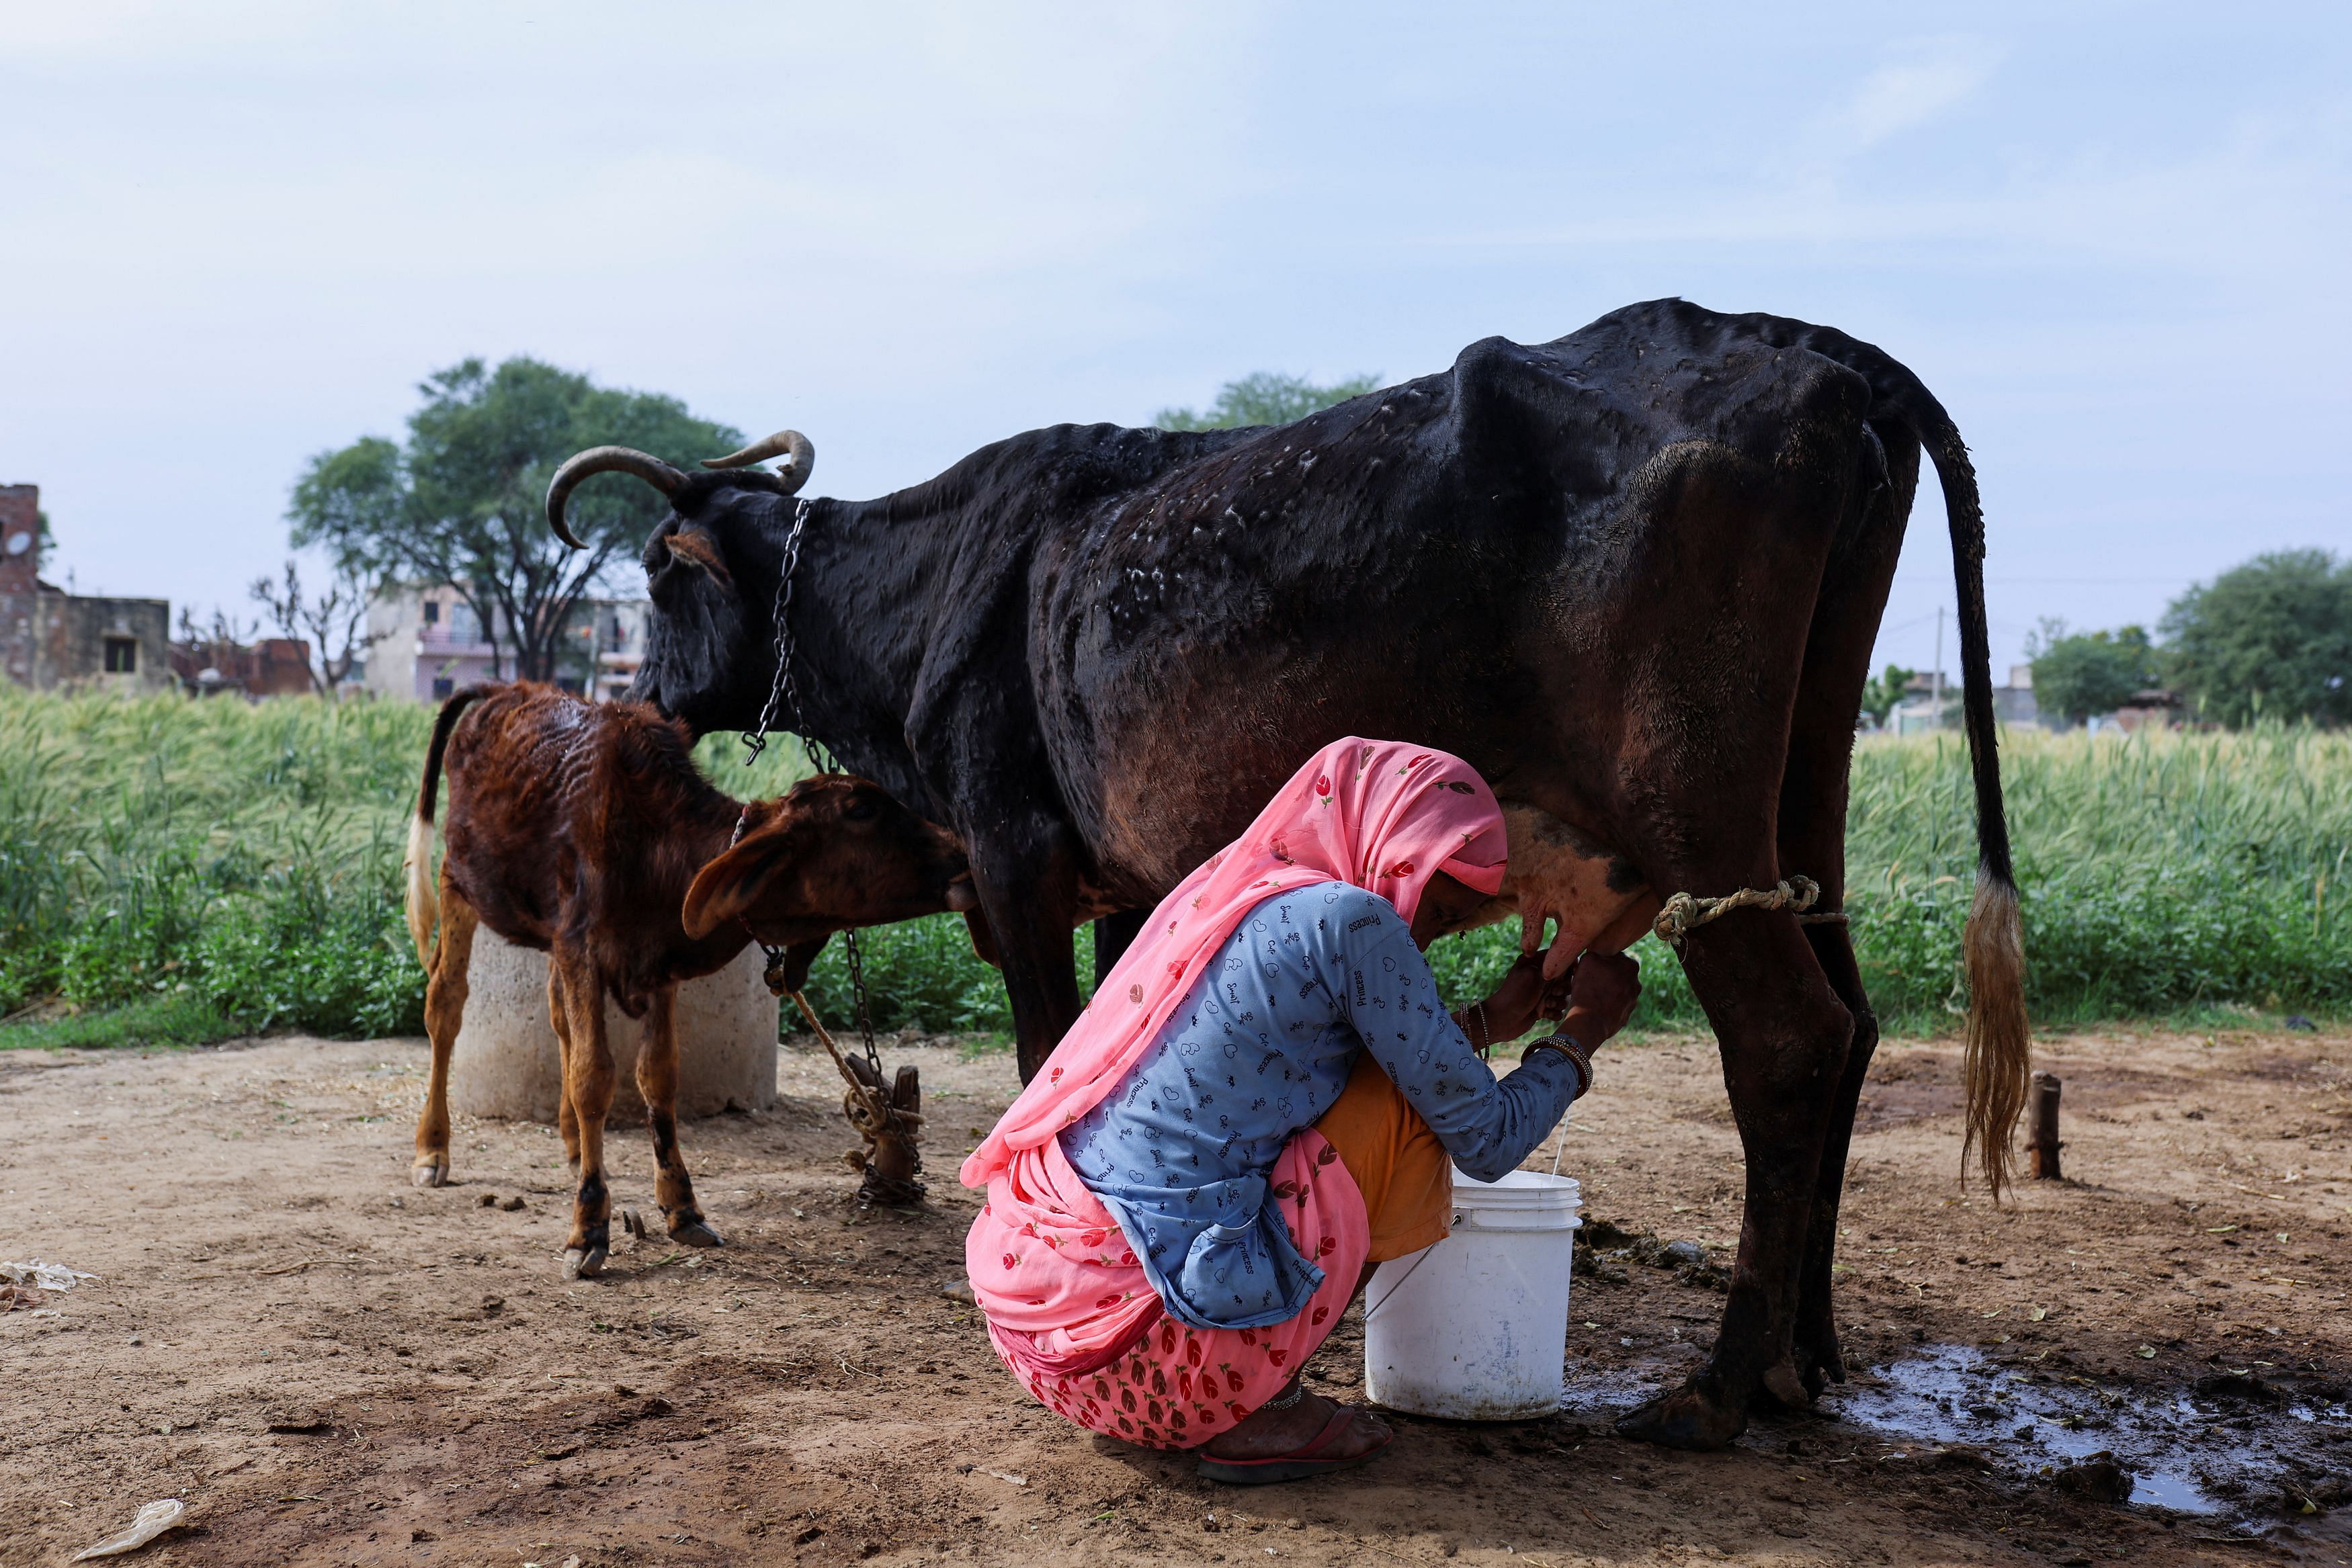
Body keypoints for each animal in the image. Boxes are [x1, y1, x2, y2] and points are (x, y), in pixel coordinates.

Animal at [400, 681, 969, 1278]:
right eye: (860, 810)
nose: (961, 849)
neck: (654, 846)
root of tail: (505, 688)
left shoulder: (655, 967)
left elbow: (658, 1075)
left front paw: (681, 1205)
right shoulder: (582, 949)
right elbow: (593, 1077)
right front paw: (588, 1227)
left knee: (557, 1017)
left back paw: (575, 1145)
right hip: (458, 882)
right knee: (446, 1006)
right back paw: (433, 1149)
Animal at [546, 300, 2023, 1457]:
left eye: (658, 580)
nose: (643, 698)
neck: (927, 587)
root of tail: (1807, 349)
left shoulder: (1019, 858)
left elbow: (1042, 1057)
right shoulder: (1130, 882)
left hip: (1692, 816)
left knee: (1789, 1039)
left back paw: (1722, 1385)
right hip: (1802, 802)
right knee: (1854, 1022)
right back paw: (1803, 1356)